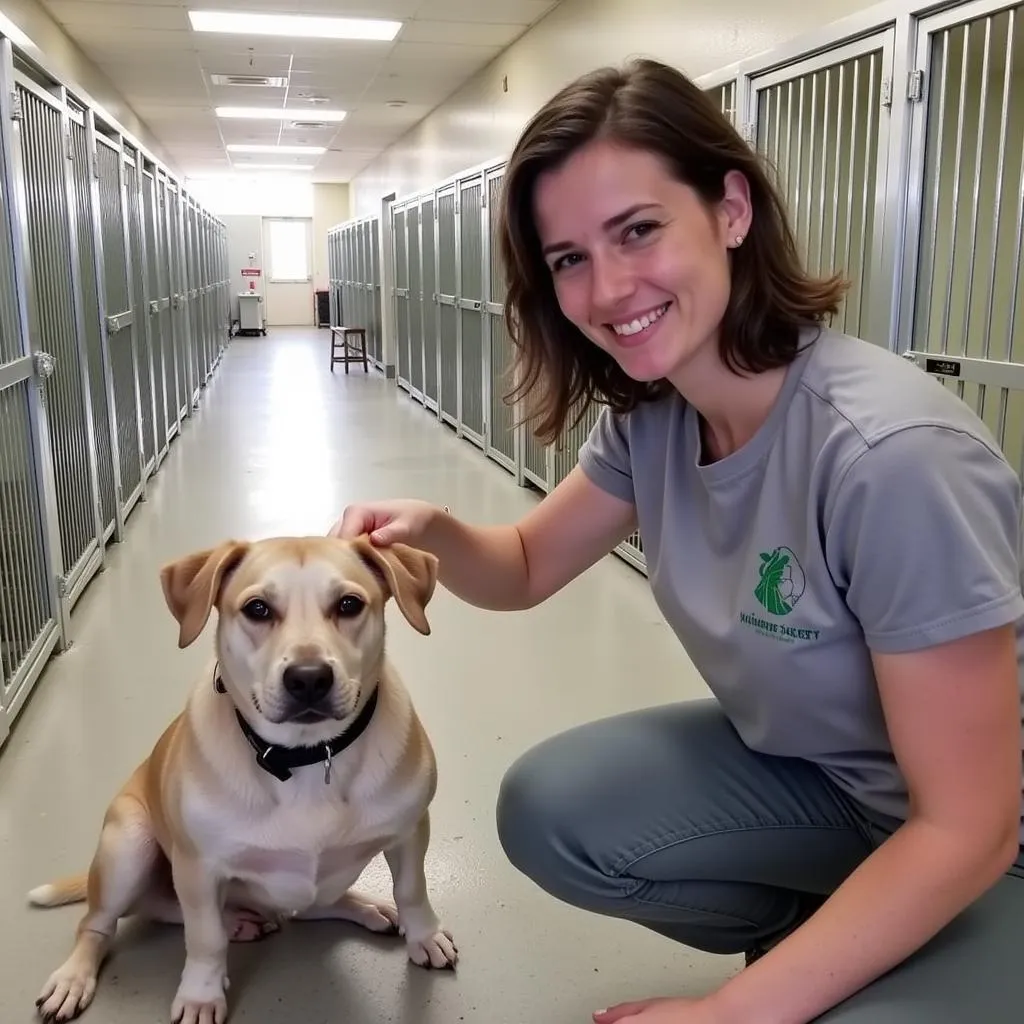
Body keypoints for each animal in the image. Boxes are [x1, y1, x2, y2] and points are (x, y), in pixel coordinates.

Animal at [29, 536, 458, 1024]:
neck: (306, 759)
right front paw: (201, 994)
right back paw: (77, 975)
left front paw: (424, 935)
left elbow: (412, 889)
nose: (308, 679)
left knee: (306, 907)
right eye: (257, 609)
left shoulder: (410, 830)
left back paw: (361, 907)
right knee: (104, 921)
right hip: (129, 844)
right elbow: (204, 937)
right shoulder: (198, 866)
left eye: (349, 604)